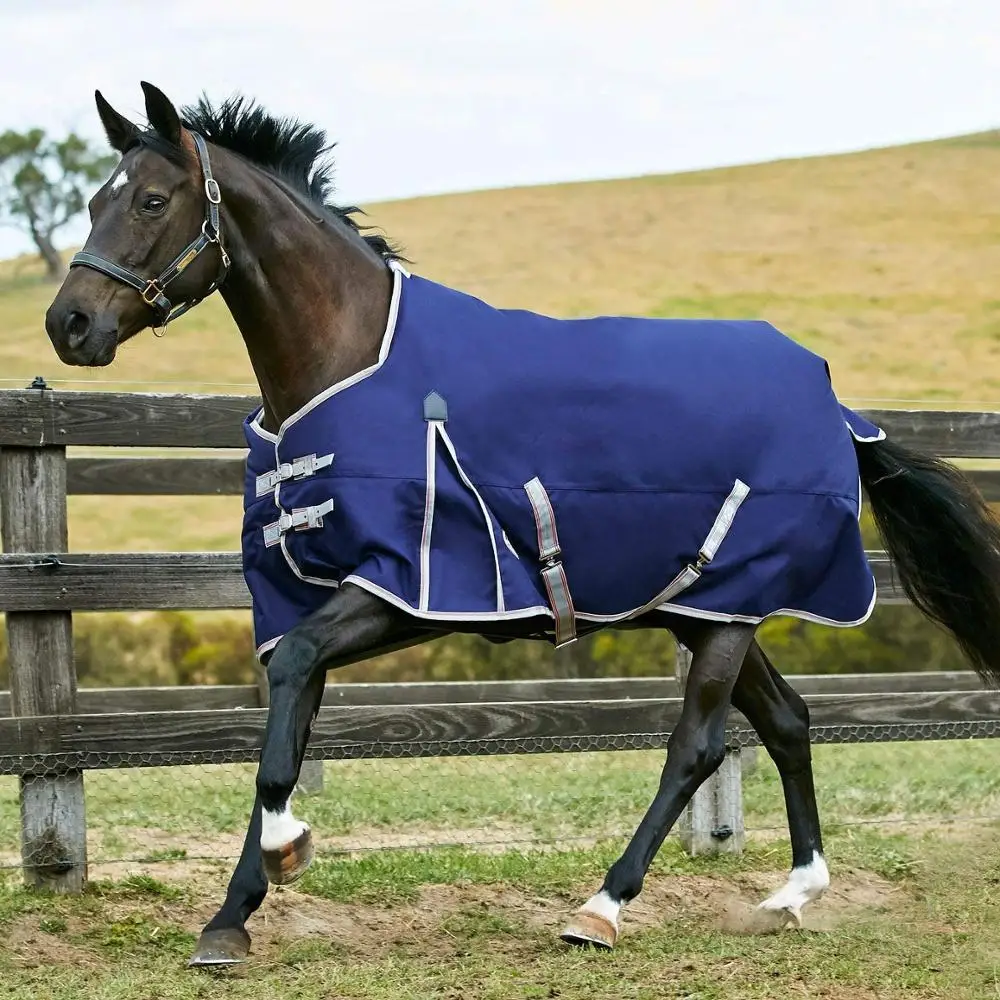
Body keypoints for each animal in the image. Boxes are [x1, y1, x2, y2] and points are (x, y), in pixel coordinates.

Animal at [43, 82, 1000, 968]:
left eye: (152, 201)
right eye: (91, 201)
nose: (69, 324)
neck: (350, 362)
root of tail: (836, 404)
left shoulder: (405, 588)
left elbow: (288, 717)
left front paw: (287, 852)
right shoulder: (307, 598)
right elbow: (285, 723)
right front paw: (230, 919)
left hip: (728, 613)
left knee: (695, 747)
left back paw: (602, 908)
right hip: (707, 609)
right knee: (791, 721)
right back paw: (795, 892)